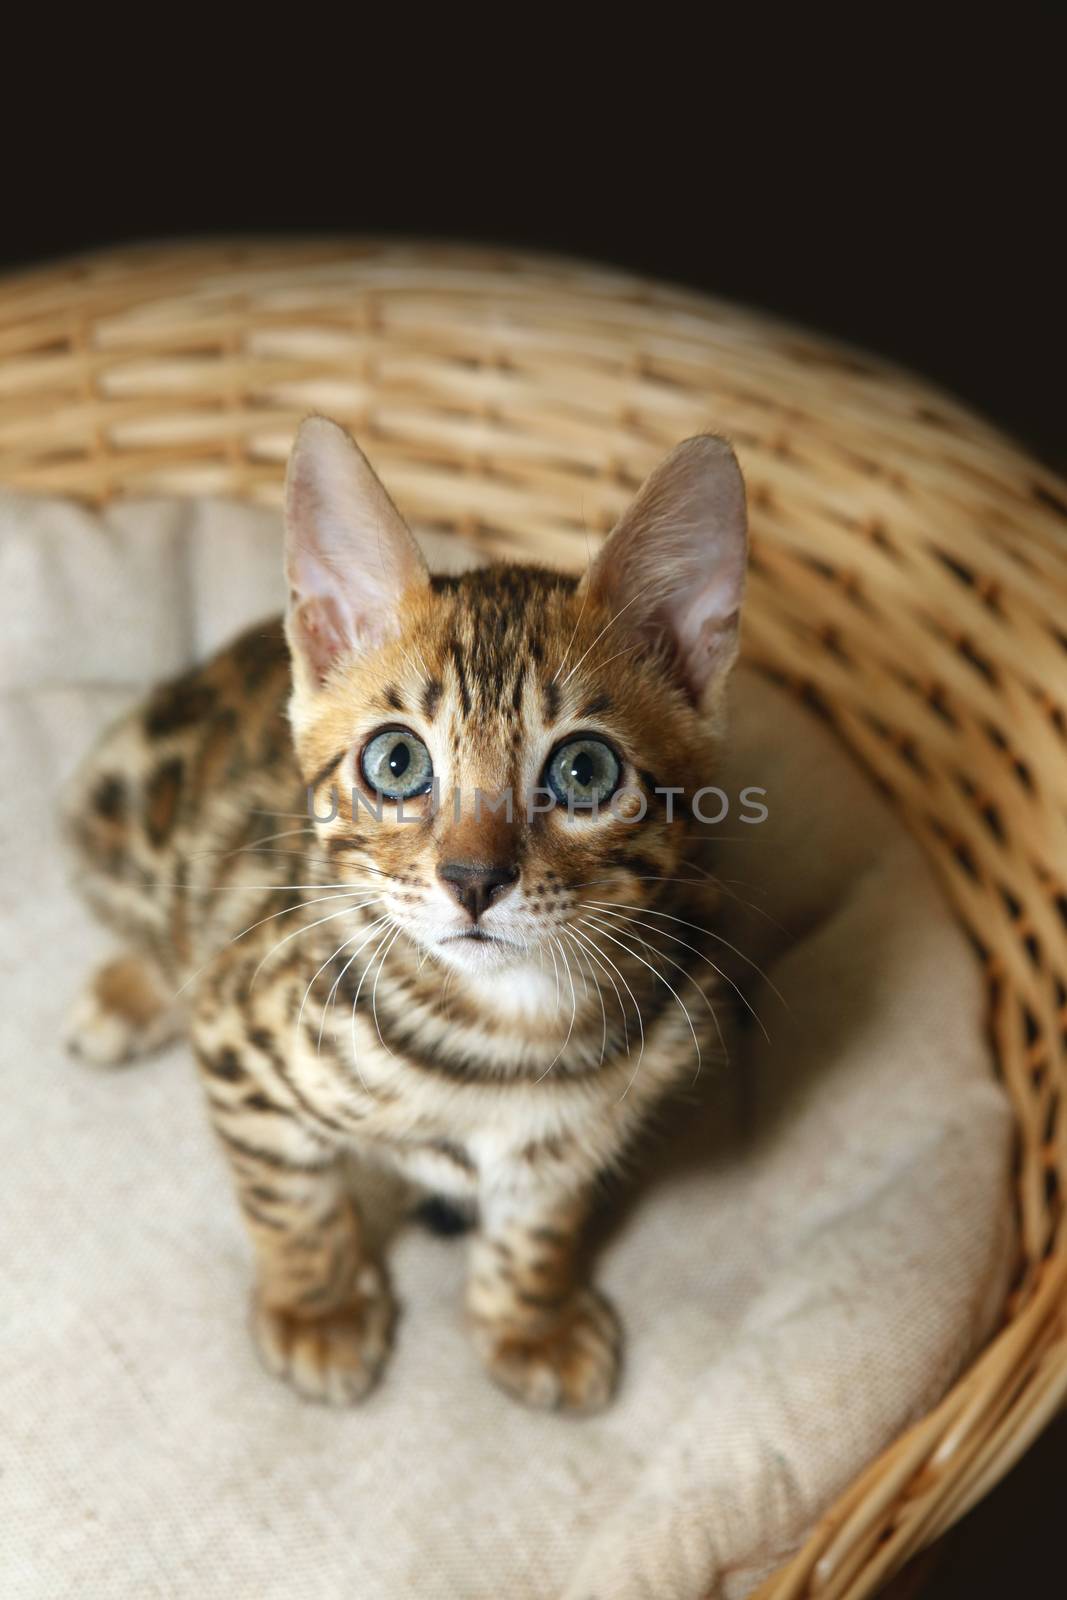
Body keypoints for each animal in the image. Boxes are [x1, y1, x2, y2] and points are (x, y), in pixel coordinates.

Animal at [64, 416, 751, 1414]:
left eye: (584, 771)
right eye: (396, 763)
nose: (473, 878)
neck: (509, 1025)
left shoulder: (579, 1128)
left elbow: (539, 1221)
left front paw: (531, 1319)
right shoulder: (241, 1033)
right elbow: (289, 1198)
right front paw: (318, 1311)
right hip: (110, 808)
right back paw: (130, 993)